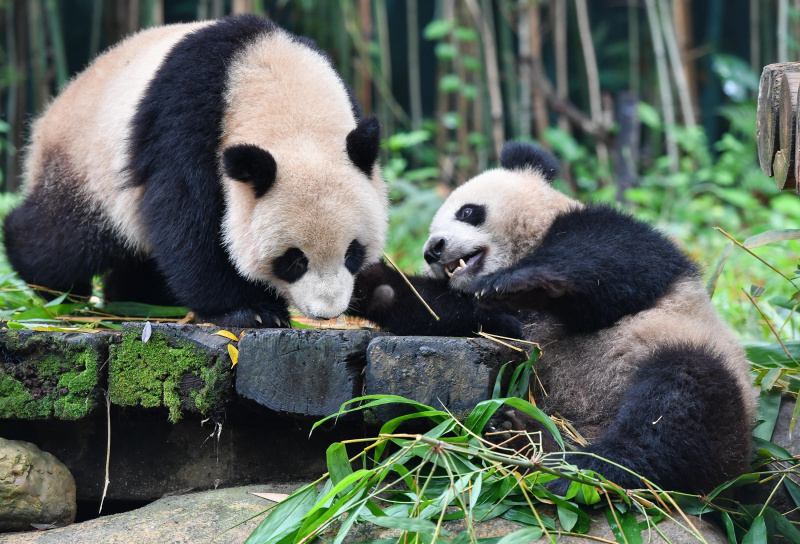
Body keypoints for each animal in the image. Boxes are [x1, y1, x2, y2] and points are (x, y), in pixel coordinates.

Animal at [4, 15, 387, 328]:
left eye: (353, 253)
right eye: (293, 261)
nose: (327, 312)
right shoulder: (188, 116)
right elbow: (185, 216)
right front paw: (250, 310)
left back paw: (138, 298)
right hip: (88, 164)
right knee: (67, 237)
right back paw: (50, 285)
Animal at [349, 141, 755, 495]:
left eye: (467, 211)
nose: (433, 250)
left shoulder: (624, 238)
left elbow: (613, 262)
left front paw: (523, 281)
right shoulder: (498, 317)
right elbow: (456, 313)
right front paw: (372, 286)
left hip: (693, 360)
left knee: (676, 403)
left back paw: (591, 469)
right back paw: (517, 434)